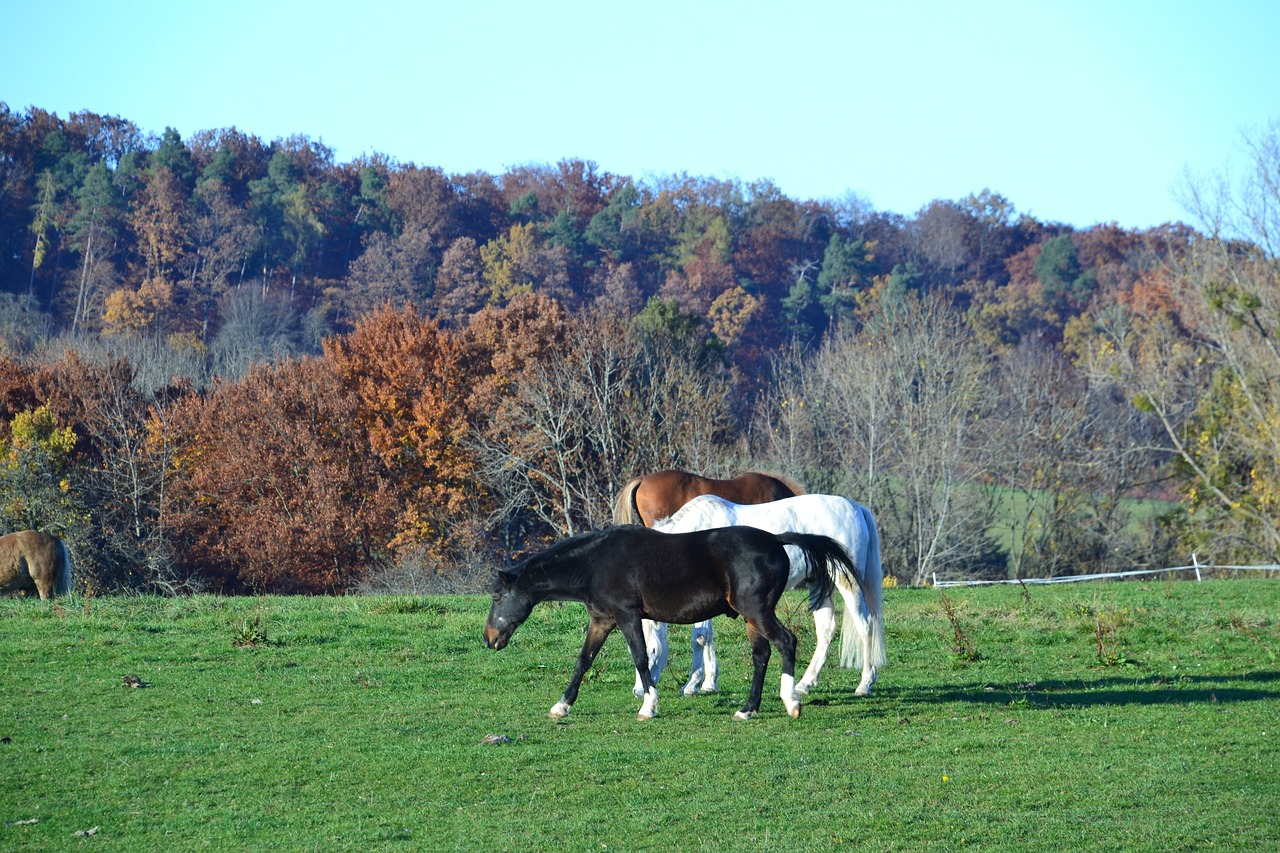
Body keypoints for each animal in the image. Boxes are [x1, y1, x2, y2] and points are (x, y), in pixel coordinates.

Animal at [483, 525, 865, 717]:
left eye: (498, 597)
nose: (489, 638)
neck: (596, 563)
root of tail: (775, 540)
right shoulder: (602, 621)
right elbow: (583, 661)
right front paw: (561, 706)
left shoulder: (627, 617)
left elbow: (640, 659)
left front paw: (649, 706)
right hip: (752, 618)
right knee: (761, 656)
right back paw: (748, 709)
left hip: (757, 612)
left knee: (786, 642)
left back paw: (791, 701)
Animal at [634, 491, 885, 696]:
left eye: (652, 650)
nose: (638, 691)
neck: (693, 540)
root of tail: (856, 507)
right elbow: (706, 638)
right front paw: (707, 683)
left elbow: (700, 638)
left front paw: (691, 685)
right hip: (818, 582)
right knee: (825, 629)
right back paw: (805, 683)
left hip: (846, 580)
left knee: (865, 625)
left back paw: (865, 683)